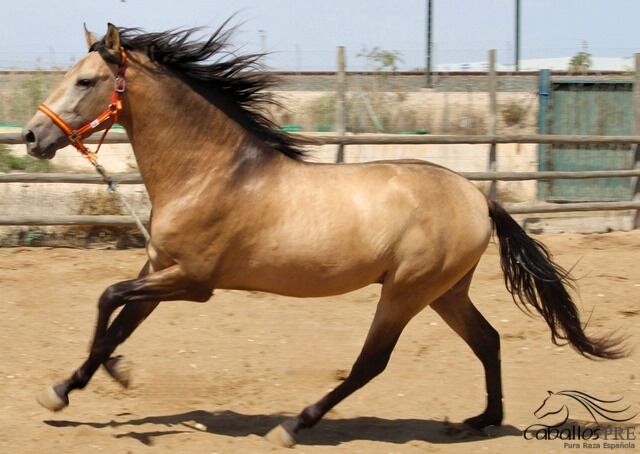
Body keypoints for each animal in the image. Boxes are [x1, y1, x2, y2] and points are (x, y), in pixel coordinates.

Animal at [22, 23, 624, 446]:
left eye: (86, 80)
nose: (31, 136)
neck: (212, 173)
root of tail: (479, 196)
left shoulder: (192, 282)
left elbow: (107, 298)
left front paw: (81, 386)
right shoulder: (158, 269)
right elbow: (119, 321)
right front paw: (77, 385)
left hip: (406, 291)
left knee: (371, 363)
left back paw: (294, 425)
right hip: (446, 292)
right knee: (488, 340)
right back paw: (482, 420)